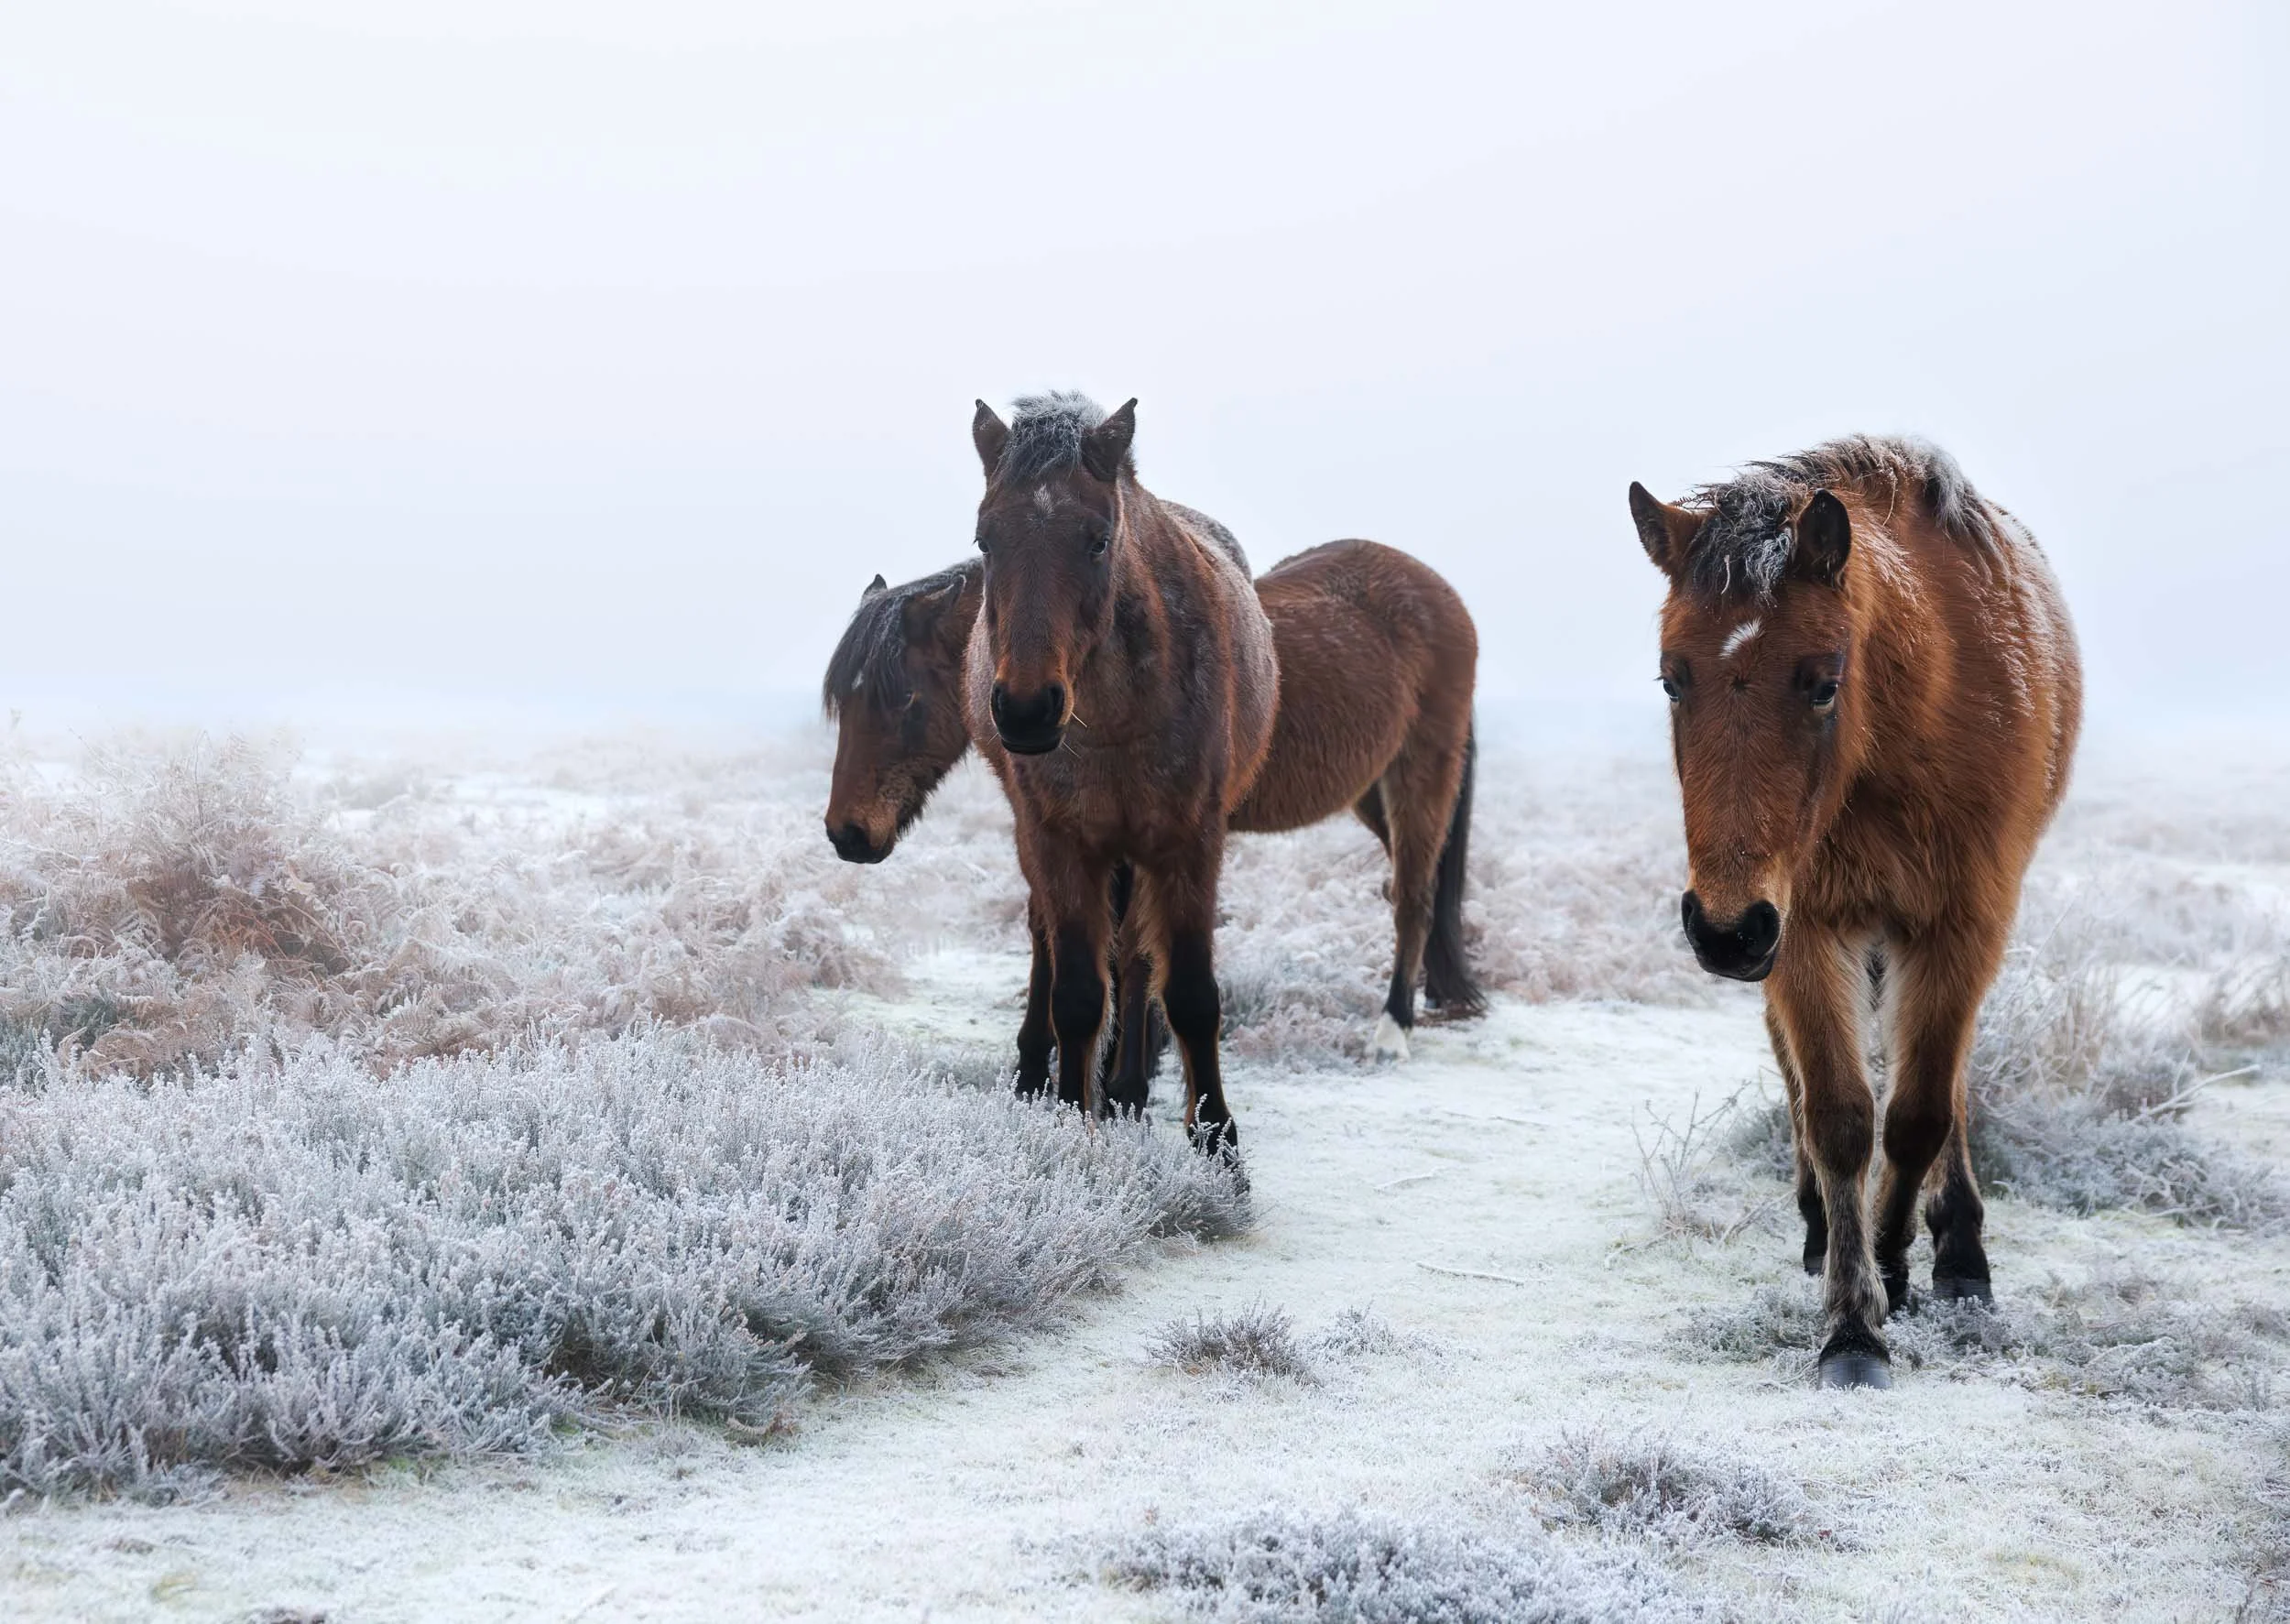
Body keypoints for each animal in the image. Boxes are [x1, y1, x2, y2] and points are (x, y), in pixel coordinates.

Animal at [821, 537, 1483, 1092]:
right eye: (843, 703)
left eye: (905, 698)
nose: (847, 833)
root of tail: (1440, 596)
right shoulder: (1052, 829)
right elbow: (1057, 933)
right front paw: (1051, 1068)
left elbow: (1128, 947)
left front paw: (1120, 1082)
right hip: (1371, 793)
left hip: (1420, 776)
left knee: (1414, 900)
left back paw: (1392, 1031)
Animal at [1628, 435, 2080, 1388]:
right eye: (1672, 679)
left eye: (1822, 682)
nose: (1725, 932)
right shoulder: (1804, 928)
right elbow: (1838, 1114)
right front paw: (1851, 1325)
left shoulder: (1963, 925)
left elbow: (1918, 1115)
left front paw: (1901, 1264)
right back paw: (1817, 1227)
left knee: (1944, 1085)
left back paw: (1958, 1250)